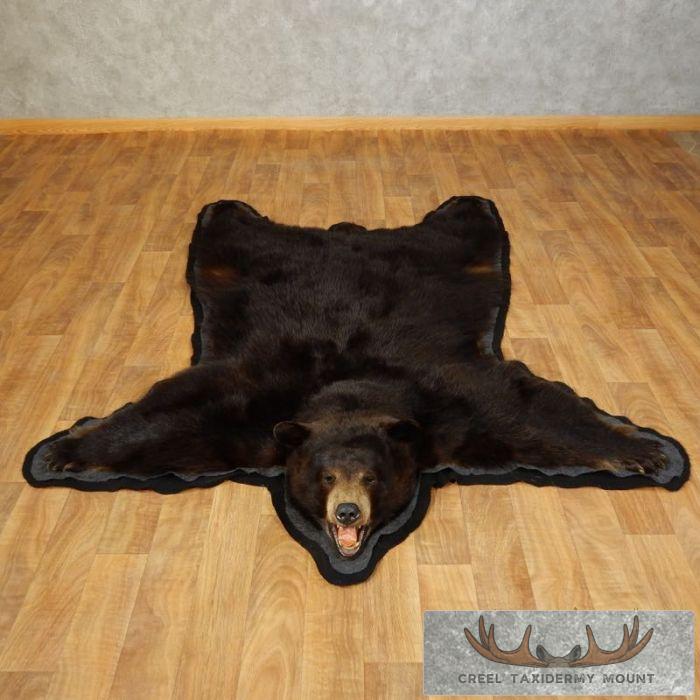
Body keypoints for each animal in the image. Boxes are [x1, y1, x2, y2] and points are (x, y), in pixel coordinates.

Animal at [43, 196, 667, 559]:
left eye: (370, 477)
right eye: (324, 477)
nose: (347, 513)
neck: (348, 389)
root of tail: (346, 231)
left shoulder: (449, 404)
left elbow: (525, 411)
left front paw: (646, 450)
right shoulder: (252, 407)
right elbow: (171, 416)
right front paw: (63, 450)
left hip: (449, 254)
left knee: (461, 227)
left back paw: (462, 203)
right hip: (237, 258)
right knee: (233, 231)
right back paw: (231, 207)